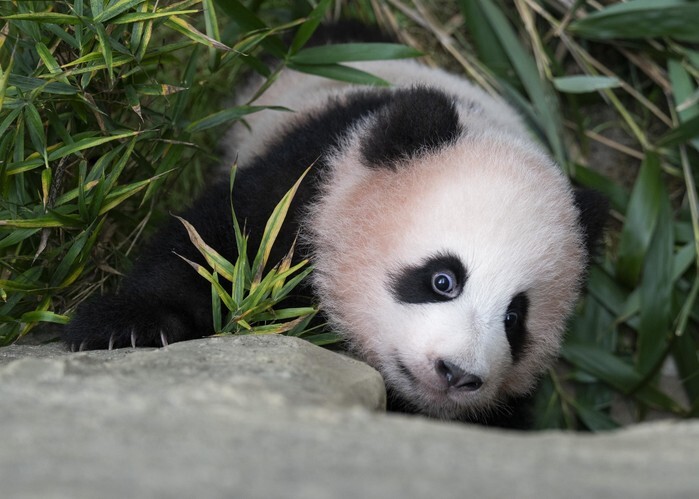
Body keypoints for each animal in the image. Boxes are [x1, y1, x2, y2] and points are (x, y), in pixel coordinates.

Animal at [63, 24, 607, 428]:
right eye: (443, 280)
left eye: (515, 318)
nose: (457, 374)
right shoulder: (307, 177)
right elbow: (210, 246)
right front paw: (124, 327)